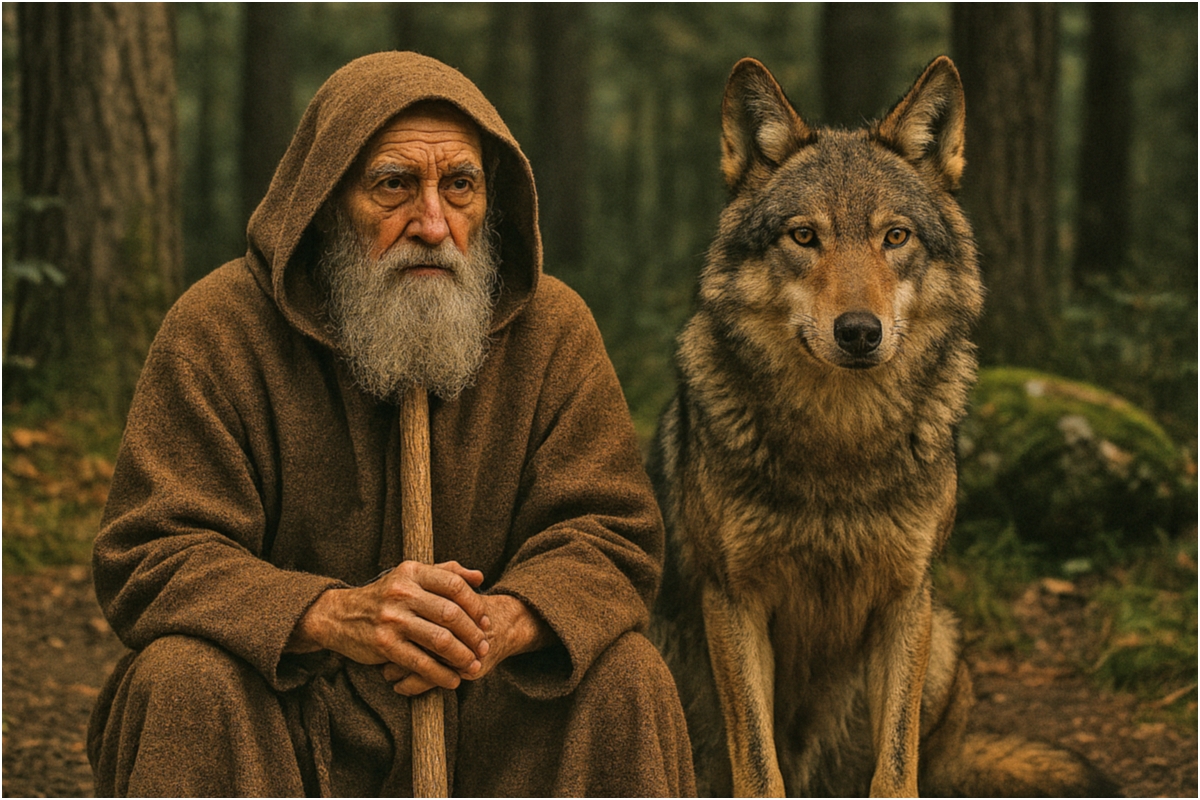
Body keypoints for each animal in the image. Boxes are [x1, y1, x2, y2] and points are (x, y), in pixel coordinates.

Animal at [649, 56, 1117, 797]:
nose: (859, 332)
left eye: (895, 236)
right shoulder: (734, 600)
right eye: (803, 235)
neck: (840, 440)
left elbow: (896, 765)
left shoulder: (905, 599)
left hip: (943, 637)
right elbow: (757, 762)